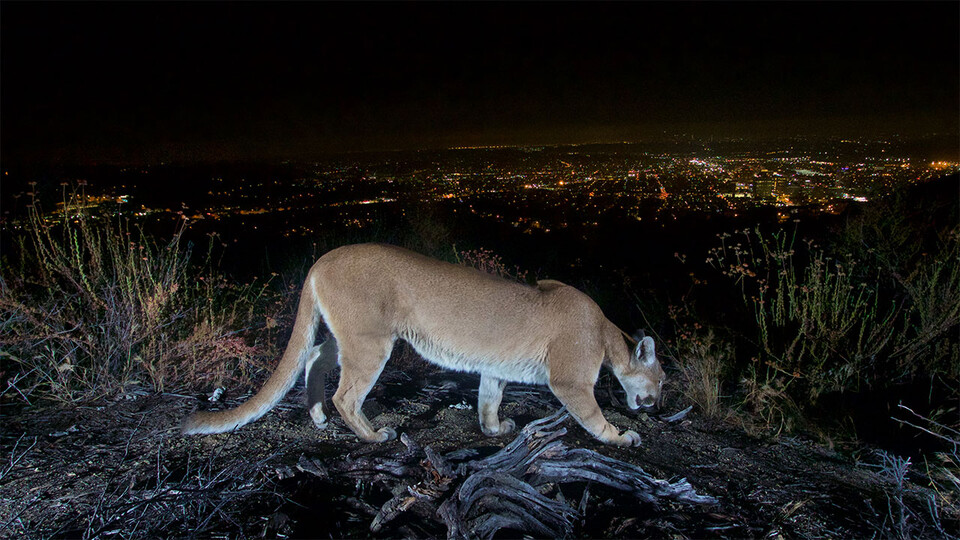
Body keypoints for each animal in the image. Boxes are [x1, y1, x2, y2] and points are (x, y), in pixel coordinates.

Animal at [181, 243, 665, 447]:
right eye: (661, 379)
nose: (657, 403)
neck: (606, 330)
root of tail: (323, 258)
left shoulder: (495, 369)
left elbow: (489, 399)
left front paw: (494, 429)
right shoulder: (571, 381)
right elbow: (592, 416)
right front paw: (621, 437)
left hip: (354, 336)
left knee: (315, 356)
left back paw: (317, 415)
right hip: (372, 342)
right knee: (346, 394)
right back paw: (372, 435)